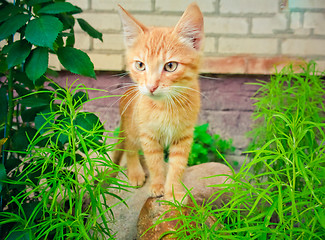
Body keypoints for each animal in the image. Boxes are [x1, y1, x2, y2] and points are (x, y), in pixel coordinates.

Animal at [112, 2, 201, 202]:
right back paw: (135, 172)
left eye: (170, 66)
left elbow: (177, 165)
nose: (151, 86)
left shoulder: (184, 137)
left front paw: (173, 191)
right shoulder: (148, 135)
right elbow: (154, 162)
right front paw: (157, 186)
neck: (166, 106)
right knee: (130, 147)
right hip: (132, 127)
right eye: (140, 65)